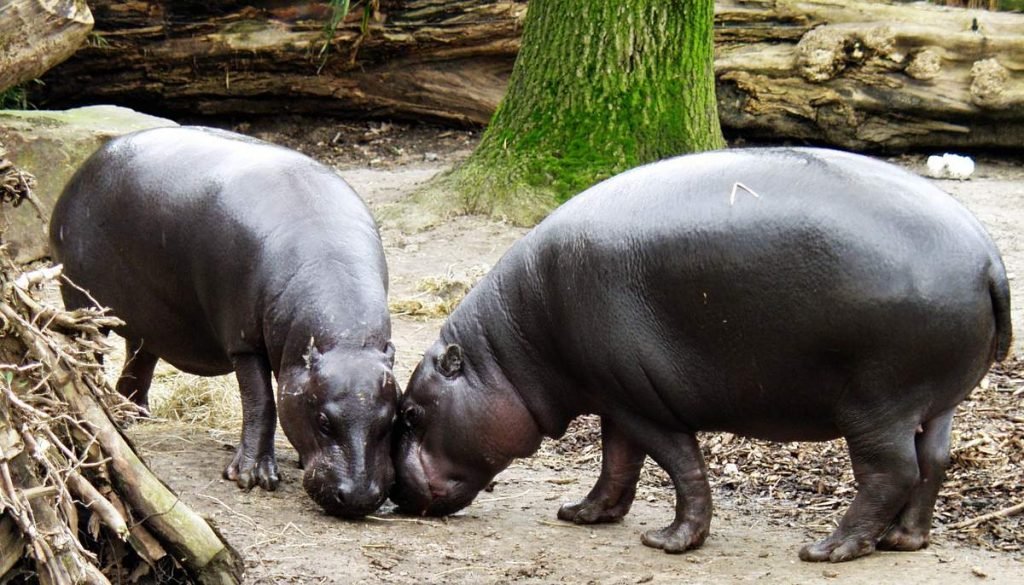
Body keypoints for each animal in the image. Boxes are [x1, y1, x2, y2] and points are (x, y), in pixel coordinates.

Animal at [49, 124, 397, 516]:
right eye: (323, 420)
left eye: (392, 419)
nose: (359, 497)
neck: (346, 342)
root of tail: (83, 168)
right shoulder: (244, 341)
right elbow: (261, 402)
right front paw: (252, 478)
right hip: (83, 303)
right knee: (89, 354)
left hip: (148, 317)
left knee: (139, 358)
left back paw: (129, 415)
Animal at [387, 147, 1011, 561]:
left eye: (412, 413)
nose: (394, 490)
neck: (507, 354)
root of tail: (987, 257)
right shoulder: (613, 396)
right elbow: (617, 463)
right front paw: (583, 515)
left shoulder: (643, 403)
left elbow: (680, 466)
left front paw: (669, 542)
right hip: (936, 400)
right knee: (934, 461)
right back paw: (904, 539)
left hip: (877, 404)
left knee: (891, 471)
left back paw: (830, 548)